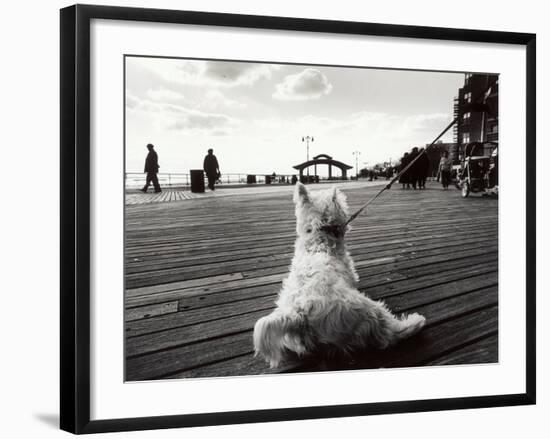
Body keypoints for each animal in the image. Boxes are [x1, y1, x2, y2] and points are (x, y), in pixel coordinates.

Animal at [254, 182, 426, 368]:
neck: (318, 236)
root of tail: (299, 312)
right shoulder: (349, 268)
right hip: (364, 311)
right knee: (387, 335)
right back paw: (415, 322)